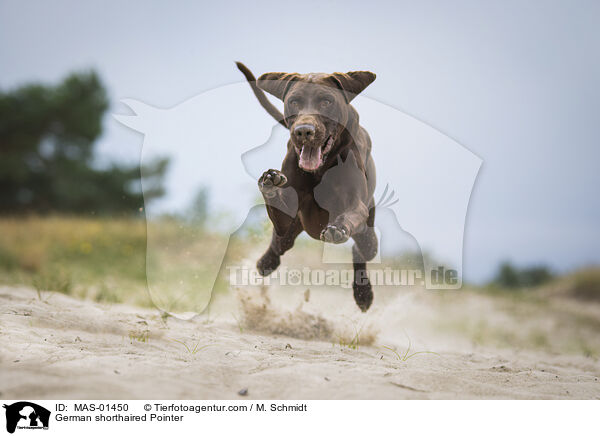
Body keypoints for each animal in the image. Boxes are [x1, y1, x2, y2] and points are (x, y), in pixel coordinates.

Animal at [237, 63, 378, 312]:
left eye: (326, 101)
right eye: (294, 101)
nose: (304, 131)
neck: (320, 169)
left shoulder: (356, 205)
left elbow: (349, 216)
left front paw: (337, 228)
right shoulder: (287, 215)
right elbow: (276, 200)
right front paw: (270, 181)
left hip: (368, 235)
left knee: (360, 250)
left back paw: (363, 294)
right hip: (290, 231)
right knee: (278, 246)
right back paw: (266, 261)